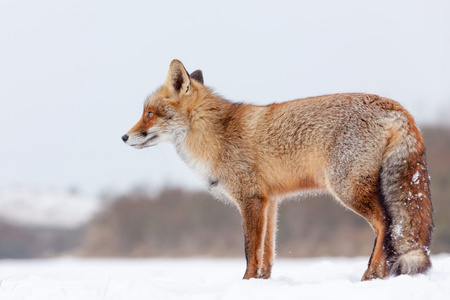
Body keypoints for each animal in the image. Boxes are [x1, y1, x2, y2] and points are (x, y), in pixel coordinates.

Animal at [122, 59, 432, 280]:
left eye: (149, 114)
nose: (124, 137)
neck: (215, 136)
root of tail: (396, 107)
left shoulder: (249, 199)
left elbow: (250, 250)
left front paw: (245, 283)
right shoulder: (269, 201)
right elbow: (267, 252)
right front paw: (263, 283)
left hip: (348, 190)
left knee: (385, 224)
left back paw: (371, 274)